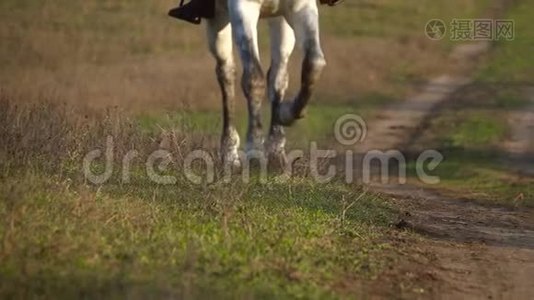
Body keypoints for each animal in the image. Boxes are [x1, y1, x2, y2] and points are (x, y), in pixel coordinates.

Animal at [207, 0, 338, 166]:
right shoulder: (243, 8)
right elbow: (254, 78)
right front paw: (254, 148)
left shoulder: (301, 7)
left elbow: (314, 63)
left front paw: (285, 113)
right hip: (218, 20)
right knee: (226, 73)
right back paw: (230, 153)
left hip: (279, 21)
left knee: (278, 77)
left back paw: (276, 150)